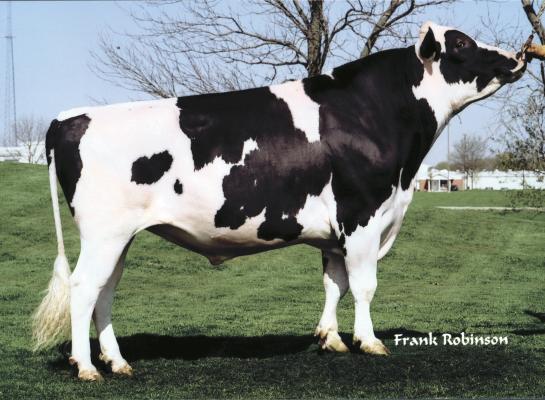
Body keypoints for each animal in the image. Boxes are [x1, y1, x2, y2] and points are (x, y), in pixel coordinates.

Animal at [33, 22, 524, 382]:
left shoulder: (336, 232)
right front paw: (369, 342)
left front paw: (331, 338)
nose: (518, 56)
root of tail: (69, 118)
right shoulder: (362, 215)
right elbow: (364, 285)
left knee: (105, 291)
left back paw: (117, 362)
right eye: (460, 43)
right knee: (83, 288)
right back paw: (87, 368)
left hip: (119, 236)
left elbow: (334, 283)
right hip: (104, 232)